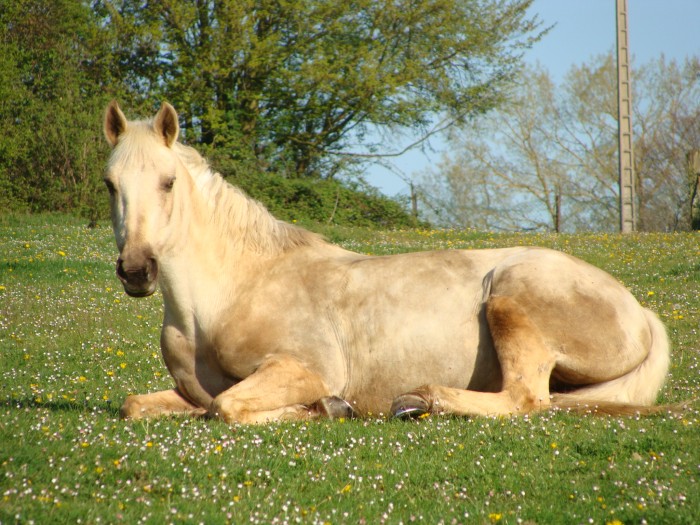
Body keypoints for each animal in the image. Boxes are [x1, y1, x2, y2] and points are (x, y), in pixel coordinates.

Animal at [104, 101, 672, 422]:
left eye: (168, 182)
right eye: (110, 184)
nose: (136, 271)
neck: (230, 292)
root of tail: (639, 311)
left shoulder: (303, 368)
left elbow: (228, 408)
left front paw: (327, 408)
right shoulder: (190, 393)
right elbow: (138, 405)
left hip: (508, 297)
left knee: (525, 399)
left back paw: (419, 400)